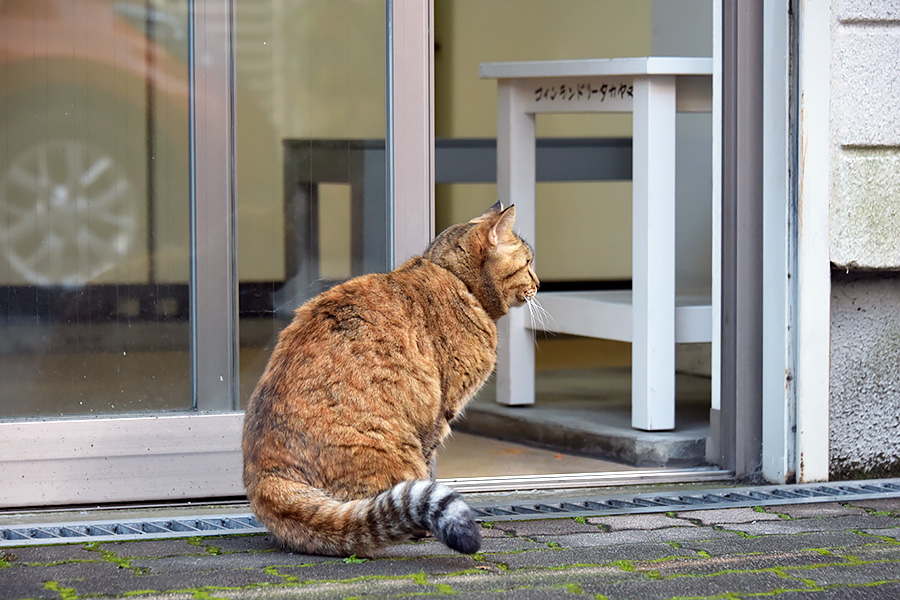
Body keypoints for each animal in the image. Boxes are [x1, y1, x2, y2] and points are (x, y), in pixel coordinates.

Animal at [241, 203, 540, 556]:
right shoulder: (441, 412)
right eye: (528, 263)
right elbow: (429, 464)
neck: (457, 280)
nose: (540, 283)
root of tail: (266, 476)